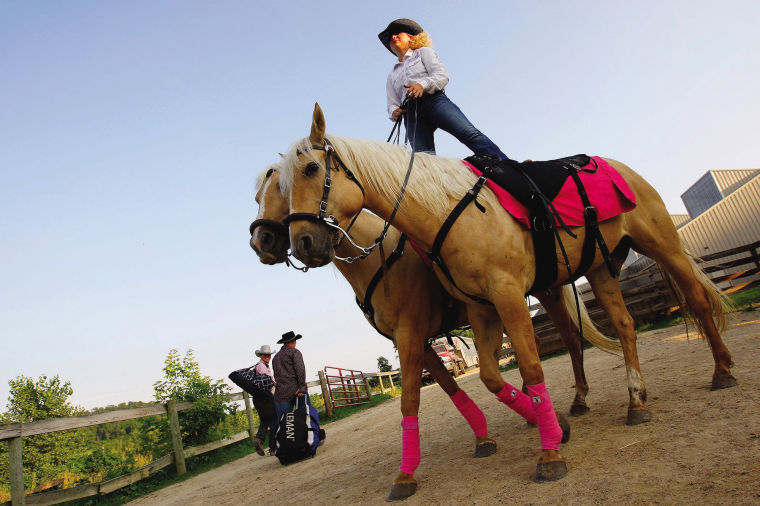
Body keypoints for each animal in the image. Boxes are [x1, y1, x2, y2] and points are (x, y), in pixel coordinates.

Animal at [252, 168, 616, 500]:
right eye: (258, 197)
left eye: (285, 188)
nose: (261, 242)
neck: (381, 262)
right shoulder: (415, 341)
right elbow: (449, 388)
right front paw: (483, 438)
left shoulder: (413, 333)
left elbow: (413, 398)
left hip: (547, 292)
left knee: (570, 338)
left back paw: (577, 403)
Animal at [280, 105, 736, 488]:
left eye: (312, 168)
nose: (302, 243)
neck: (446, 212)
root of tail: (618, 167)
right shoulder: (480, 308)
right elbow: (488, 376)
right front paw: (549, 427)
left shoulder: (507, 298)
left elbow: (530, 368)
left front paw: (550, 454)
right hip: (599, 269)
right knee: (621, 327)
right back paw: (633, 402)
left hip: (662, 246)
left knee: (696, 300)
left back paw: (721, 372)